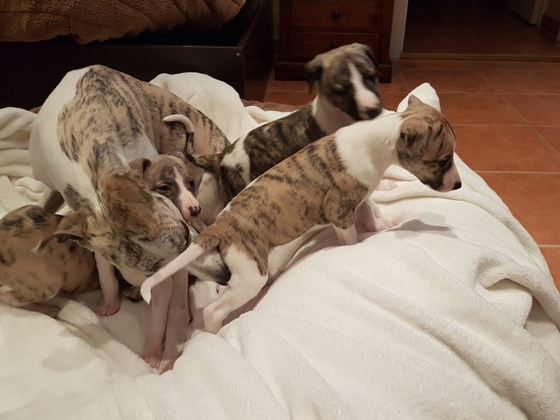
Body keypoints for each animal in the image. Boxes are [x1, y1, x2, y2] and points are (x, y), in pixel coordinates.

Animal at [141, 96, 462, 333]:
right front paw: (360, 245)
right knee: (212, 310)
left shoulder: (358, 196)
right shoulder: (339, 211)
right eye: (444, 159)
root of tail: (222, 224)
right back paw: (218, 331)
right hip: (250, 273)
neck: (375, 142)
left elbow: (371, 210)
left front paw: (384, 224)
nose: (458, 185)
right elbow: (351, 239)